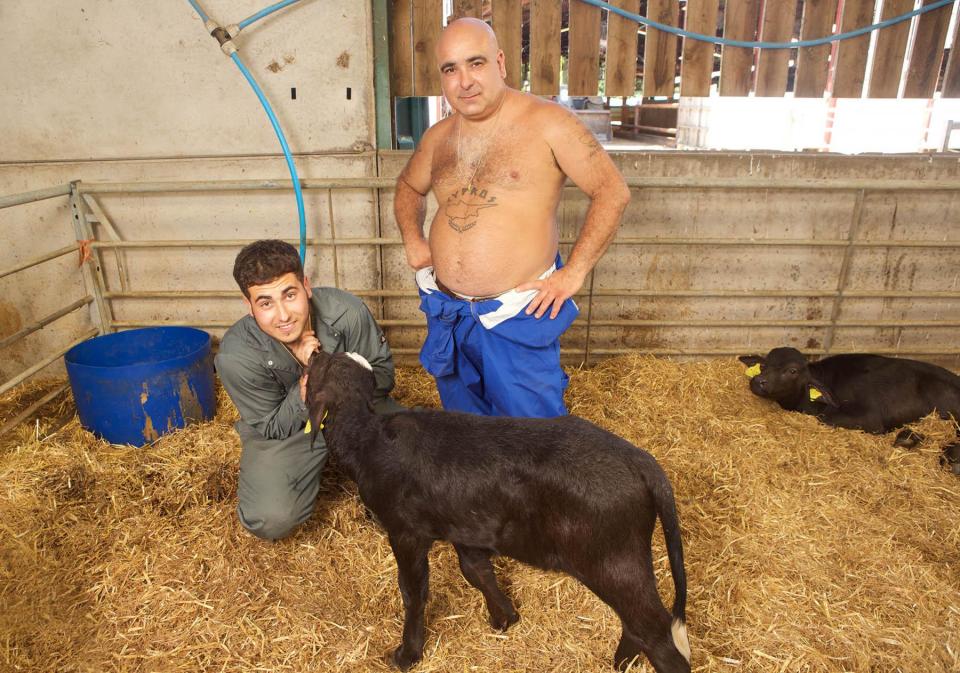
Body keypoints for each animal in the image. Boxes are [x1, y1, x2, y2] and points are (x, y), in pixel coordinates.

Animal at [308, 352, 688, 672]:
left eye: (317, 367)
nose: (314, 351)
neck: (368, 439)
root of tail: (637, 458)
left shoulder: (406, 532)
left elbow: (413, 592)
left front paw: (407, 654)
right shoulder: (464, 523)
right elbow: (476, 570)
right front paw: (505, 616)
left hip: (614, 561)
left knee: (655, 630)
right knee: (637, 624)